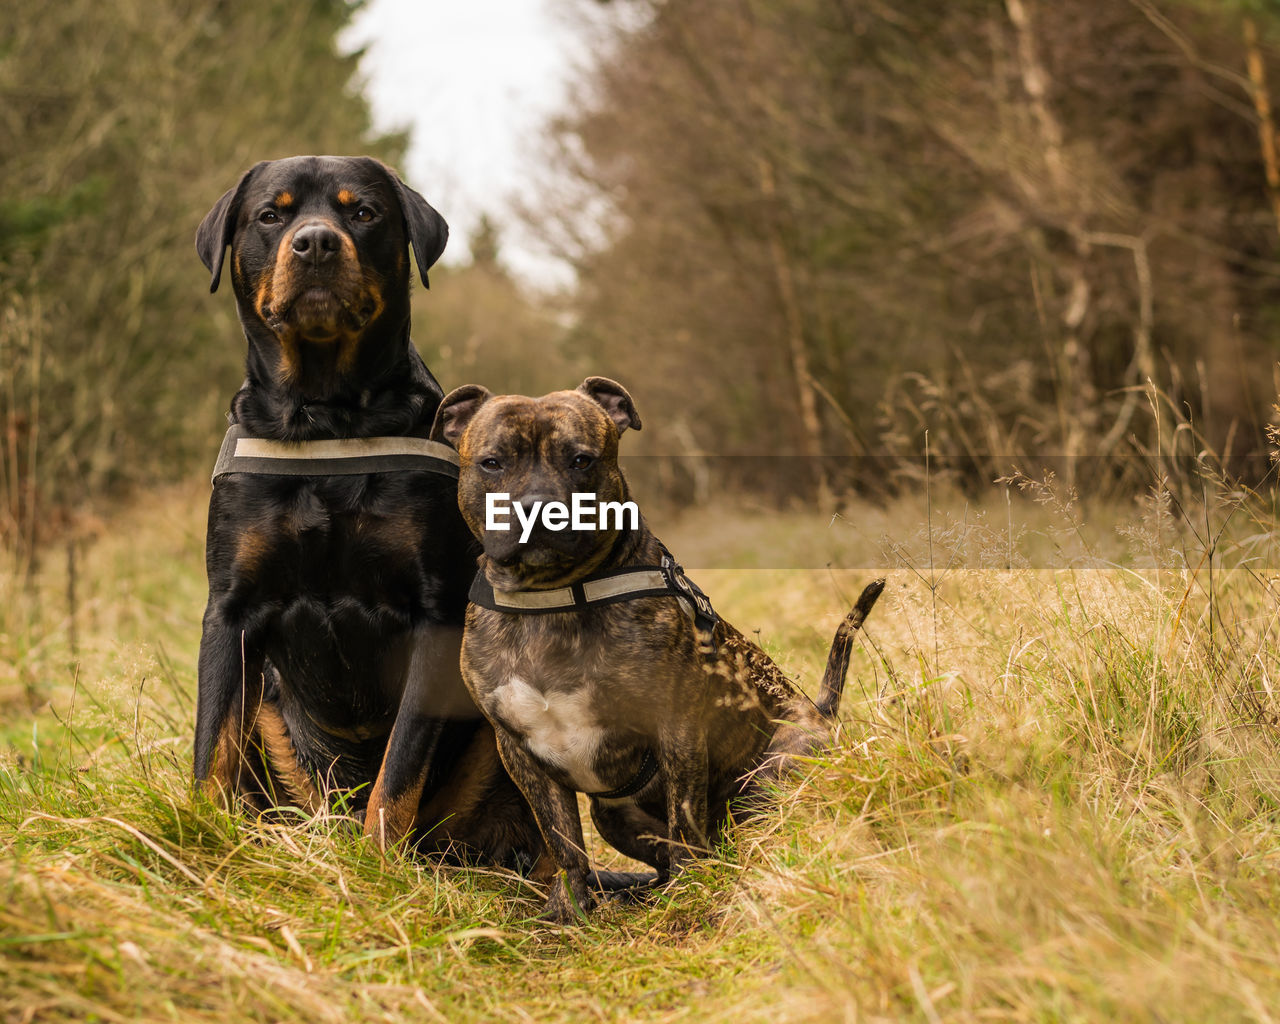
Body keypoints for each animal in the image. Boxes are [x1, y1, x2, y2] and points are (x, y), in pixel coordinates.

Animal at [189, 154, 550, 865]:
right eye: (271, 214)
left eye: (363, 212)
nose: (315, 243)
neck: (328, 418)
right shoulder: (231, 609)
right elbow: (210, 750)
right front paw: (198, 845)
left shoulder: (435, 615)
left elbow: (400, 768)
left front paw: (377, 865)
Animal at [427, 376, 880, 921]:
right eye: (492, 462)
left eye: (581, 459)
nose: (538, 507)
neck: (552, 599)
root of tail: (821, 710)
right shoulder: (519, 749)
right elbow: (562, 838)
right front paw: (569, 909)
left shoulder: (676, 725)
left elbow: (683, 818)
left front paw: (691, 892)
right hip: (613, 814)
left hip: (773, 772)